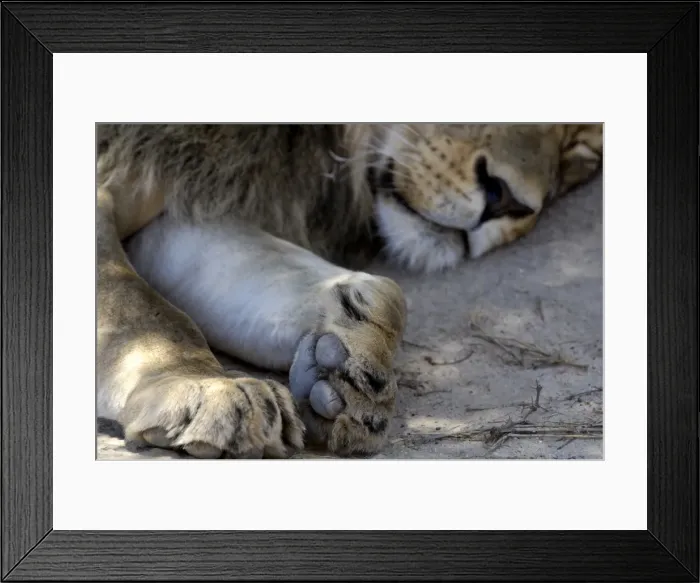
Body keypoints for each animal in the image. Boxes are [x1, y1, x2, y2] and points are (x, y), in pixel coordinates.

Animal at [96, 123, 602, 459]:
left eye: (580, 152)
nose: (506, 200)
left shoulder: (185, 198)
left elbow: (381, 291)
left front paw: (341, 369)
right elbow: (138, 306)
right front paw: (203, 388)